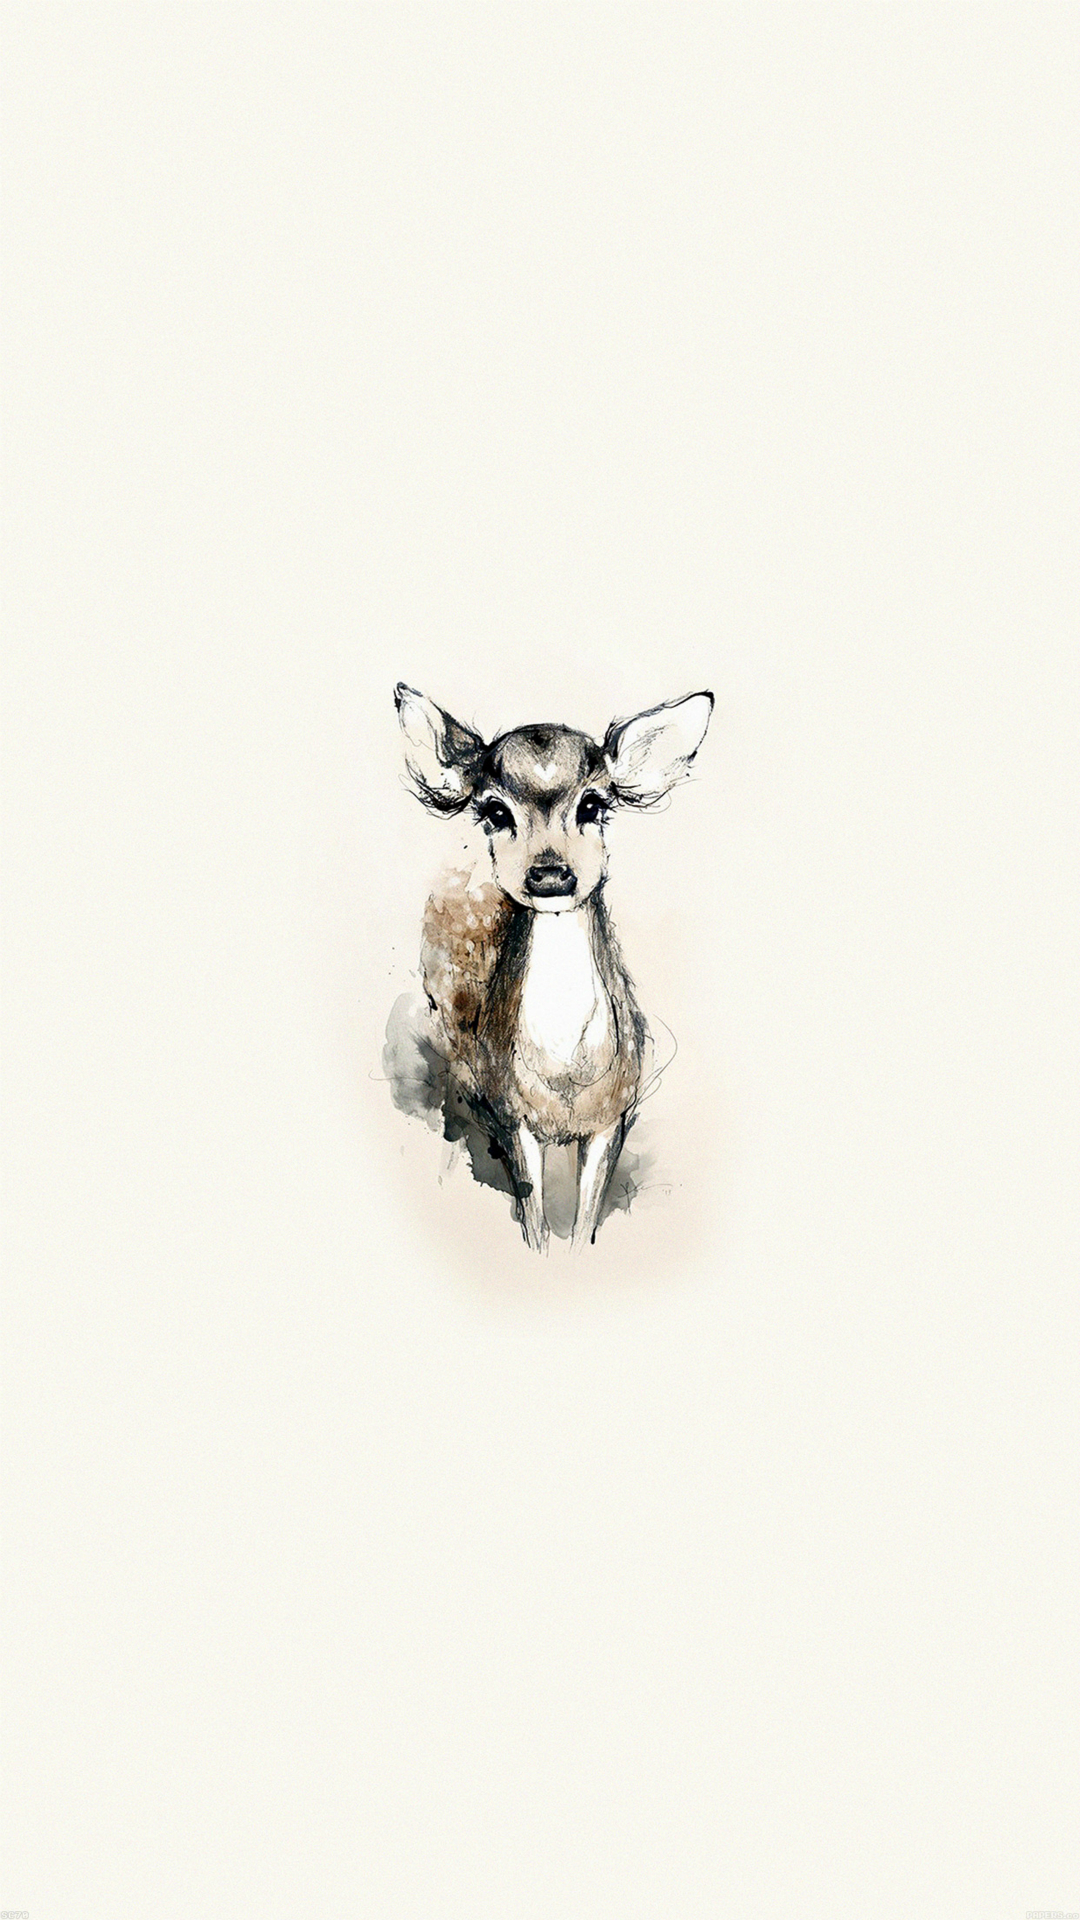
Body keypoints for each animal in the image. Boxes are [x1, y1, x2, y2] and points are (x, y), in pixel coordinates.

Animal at [393, 683, 713, 1250]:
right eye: (495, 811)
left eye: (593, 803)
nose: (549, 875)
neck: (566, 1078)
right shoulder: (512, 1115)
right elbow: (535, 1221)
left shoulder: (614, 1116)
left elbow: (585, 1222)